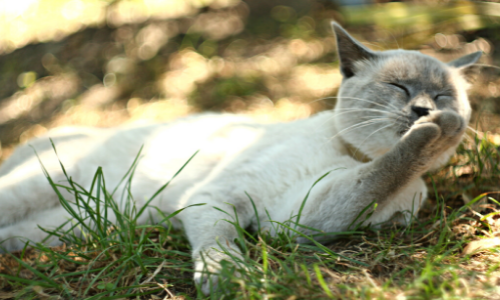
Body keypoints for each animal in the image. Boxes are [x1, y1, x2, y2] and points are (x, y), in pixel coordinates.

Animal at [0, 22, 480, 294]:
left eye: (442, 94)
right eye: (398, 87)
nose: (426, 110)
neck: (350, 153)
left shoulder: (296, 216)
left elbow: (373, 179)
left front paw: (441, 131)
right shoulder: (218, 196)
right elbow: (220, 242)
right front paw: (229, 279)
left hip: (65, 227)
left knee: (14, 234)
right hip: (36, 187)